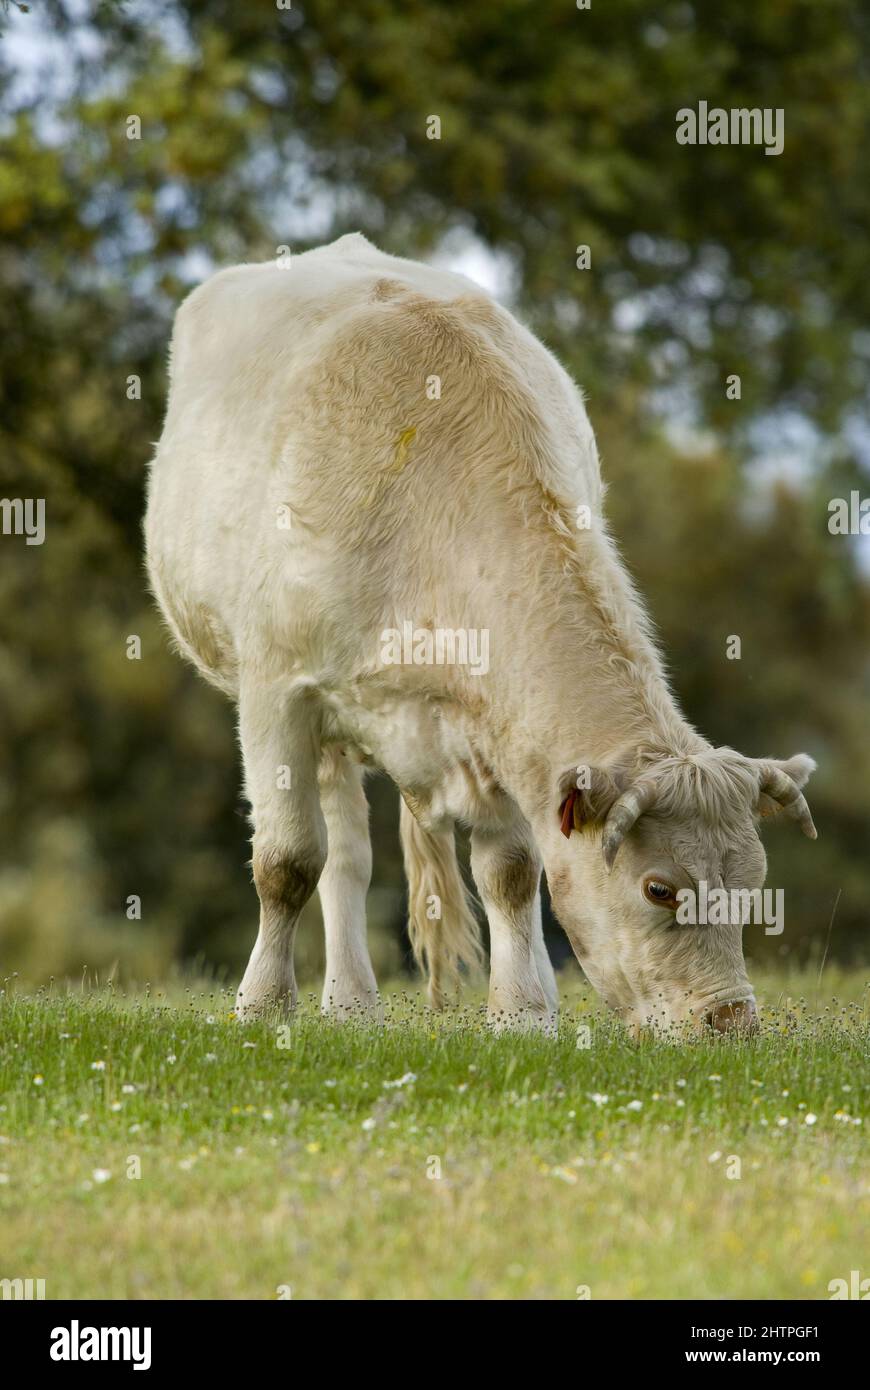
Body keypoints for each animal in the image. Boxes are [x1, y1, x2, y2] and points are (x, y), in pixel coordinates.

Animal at [144, 233, 817, 1036]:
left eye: (753, 883)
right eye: (660, 888)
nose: (732, 1023)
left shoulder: (506, 728)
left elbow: (513, 873)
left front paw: (522, 1013)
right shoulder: (276, 689)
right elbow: (288, 861)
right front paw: (262, 1007)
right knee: (340, 855)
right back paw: (351, 1002)